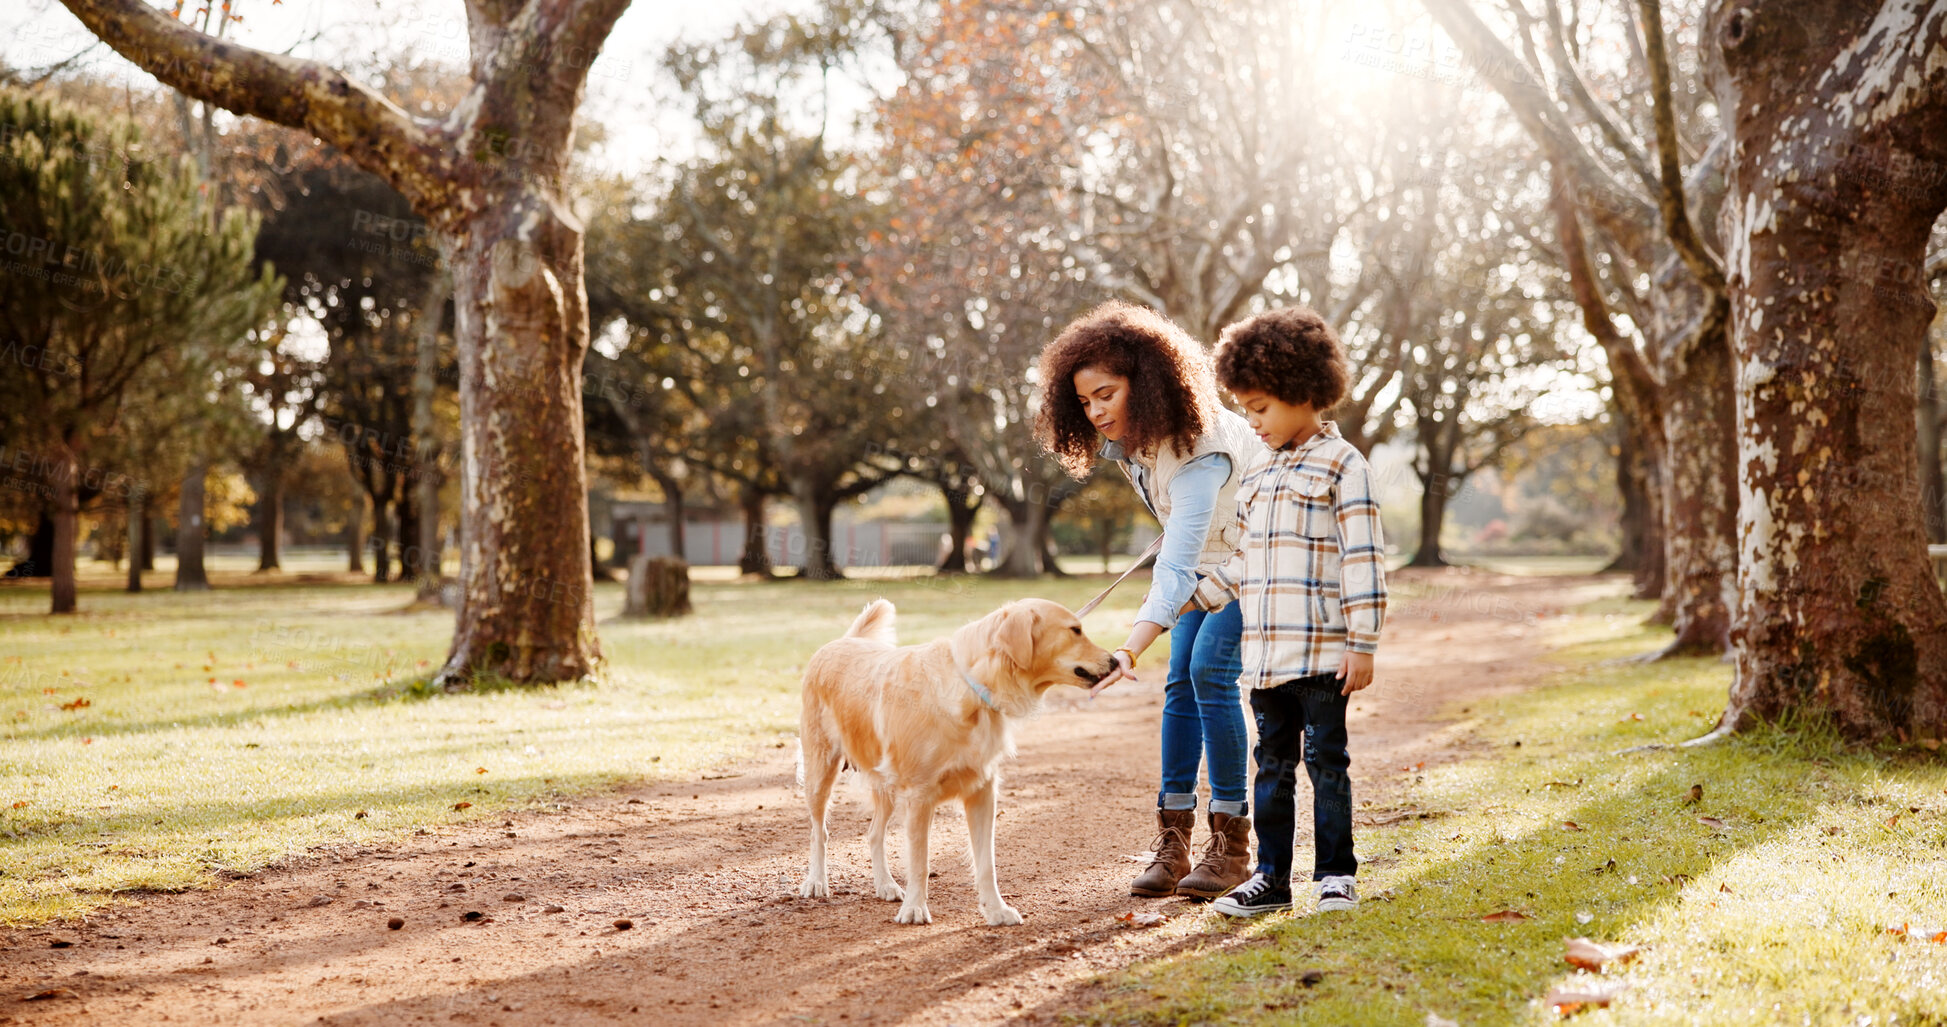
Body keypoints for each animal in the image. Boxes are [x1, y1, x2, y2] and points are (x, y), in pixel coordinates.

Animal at [798, 596, 1121, 923]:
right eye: (1075, 630)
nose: (1116, 662)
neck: (971, 687)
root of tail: (843, 640)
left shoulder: (982, 792)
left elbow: (986, 864)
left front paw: (996, 910)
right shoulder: (919, 796)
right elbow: (920, 862)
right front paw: (915, 908)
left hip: (884, 784)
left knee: (874, 833)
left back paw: (885, 885)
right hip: (820, 772)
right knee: (819, 831)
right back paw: (816, 881)